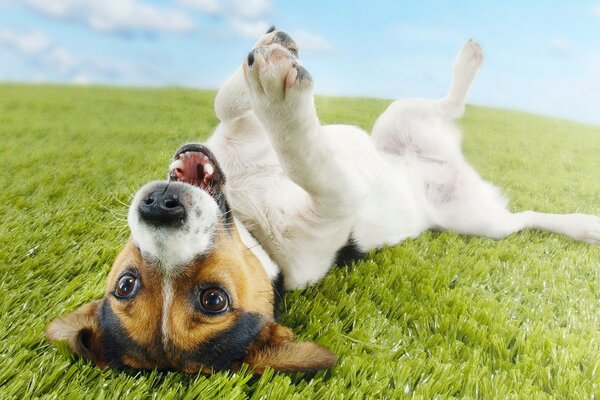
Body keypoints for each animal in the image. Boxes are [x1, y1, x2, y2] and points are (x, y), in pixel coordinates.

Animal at [47, 28, 600, 376]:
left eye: (124, 282)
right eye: (213, 300)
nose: (160, 207)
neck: (247, 215)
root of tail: (446, 174)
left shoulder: (234, 135)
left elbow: (227, 103)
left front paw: (267, 49)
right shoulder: (336, 196)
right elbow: (300, 155)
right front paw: (277, 91)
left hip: (396, 122)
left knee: (448, 107)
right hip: (479, 221)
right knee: (519, 214)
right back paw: (583, 224)